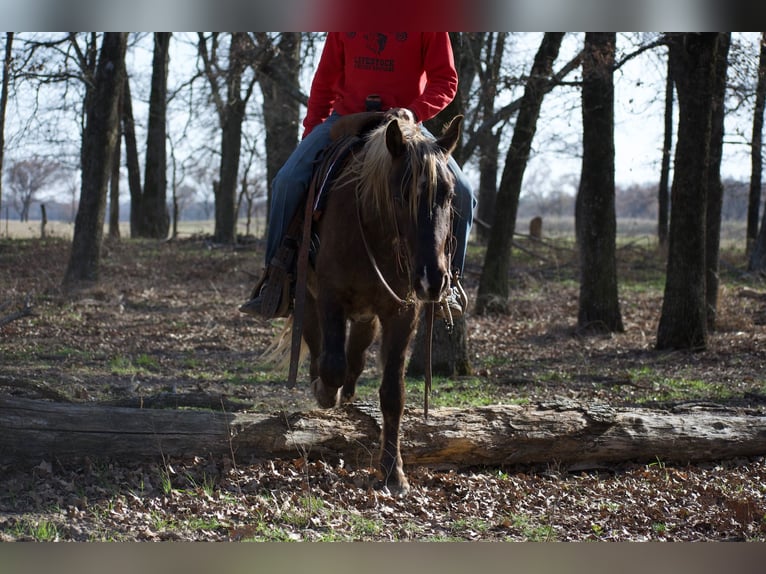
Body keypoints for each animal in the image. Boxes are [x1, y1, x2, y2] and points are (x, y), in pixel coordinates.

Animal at [296, 113, 463, 495]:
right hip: (310, 300)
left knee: (356, 354)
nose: (433, 279)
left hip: (368, 316)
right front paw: (326, 392)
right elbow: (331, 365)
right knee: (320, 347)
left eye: (448, 195)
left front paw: (392, 472)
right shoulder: (330, 297)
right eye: (401, 195)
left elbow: (393, 393)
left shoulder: (402, 312)